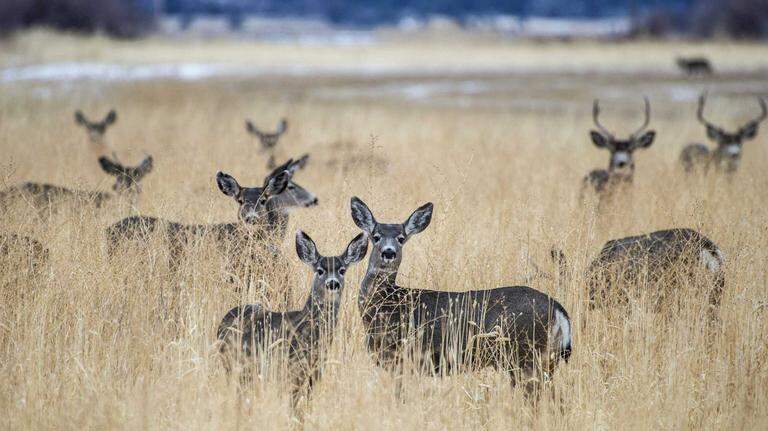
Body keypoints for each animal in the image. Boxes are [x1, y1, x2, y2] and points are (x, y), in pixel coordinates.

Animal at [350, 197, 572, 399]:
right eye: (376, 236)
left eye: (401, 238)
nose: (389, 253)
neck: (386, 303)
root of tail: (560, 311)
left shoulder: (401, 358)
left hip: (527, 357)